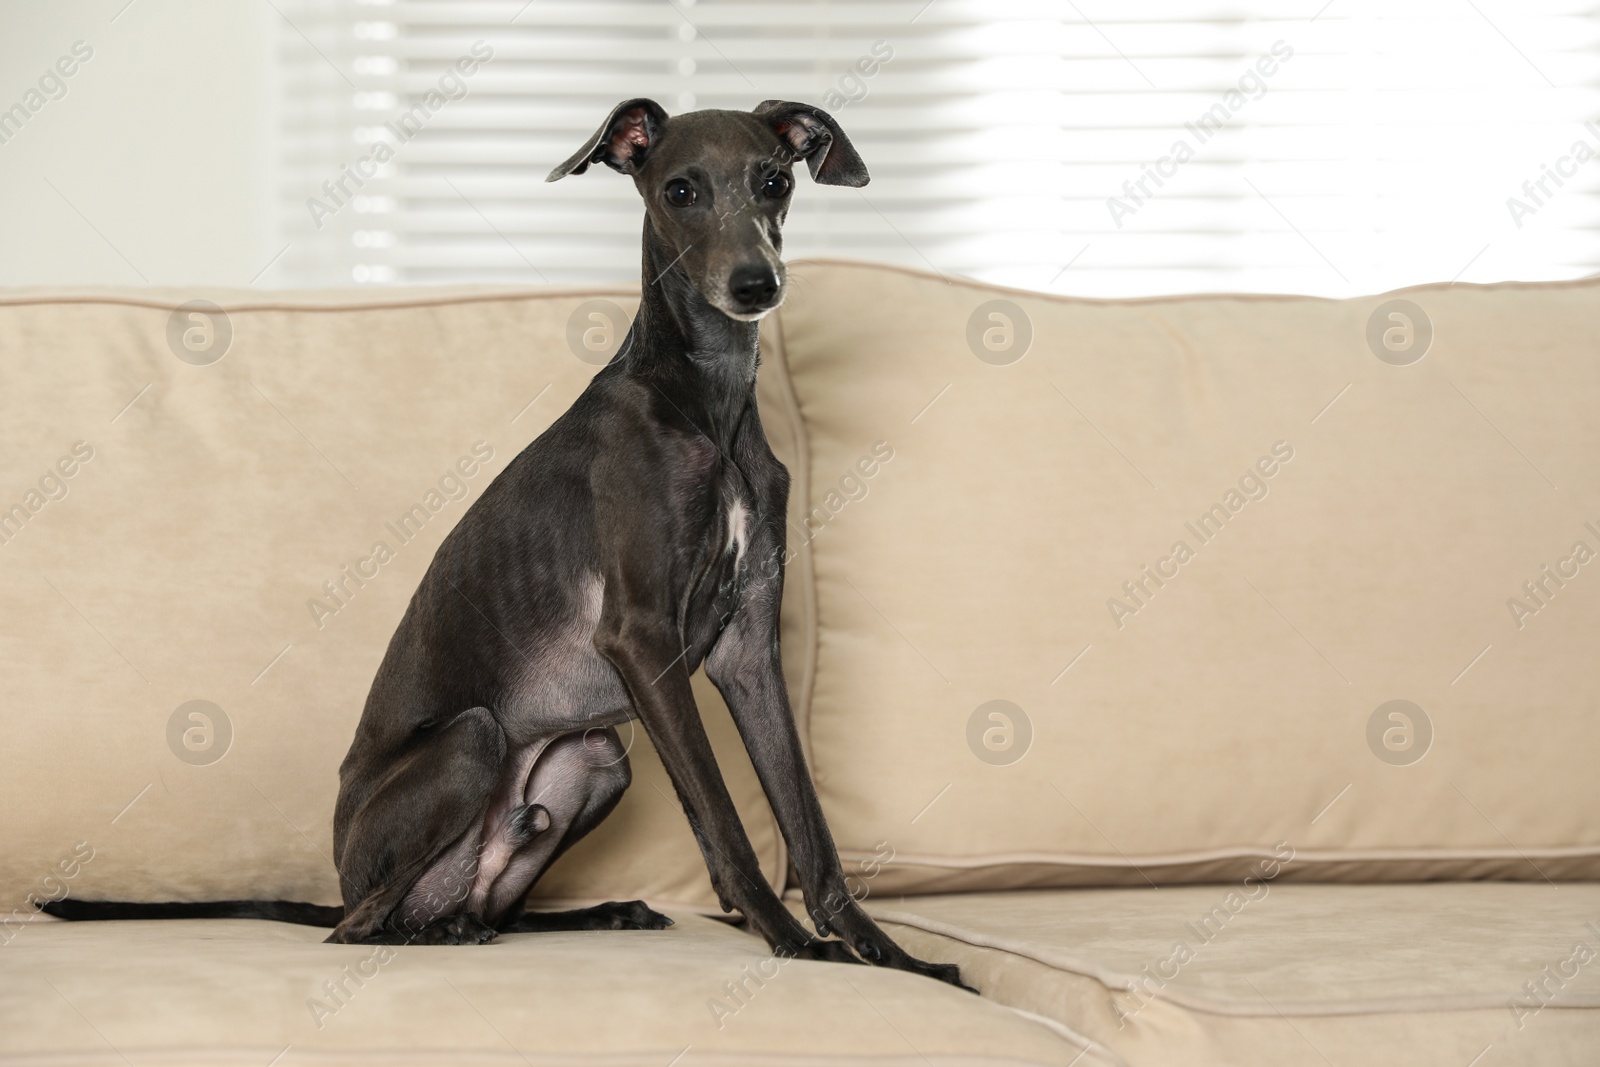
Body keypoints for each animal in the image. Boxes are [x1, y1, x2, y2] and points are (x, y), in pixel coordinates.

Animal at [50, 102, 966, 991]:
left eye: (775, 180)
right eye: (680, 190)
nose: (755, 284)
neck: (706, 404)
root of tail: (344, 877)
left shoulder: (746, 651)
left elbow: (810, 832)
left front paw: (894, 957)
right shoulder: (641, 639)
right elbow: (724, 821)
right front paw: (796, 945)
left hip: (597, 759)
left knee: (491, 906)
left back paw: (581, 913)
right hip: (472, 740)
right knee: (362, 927)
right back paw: (439, 932)